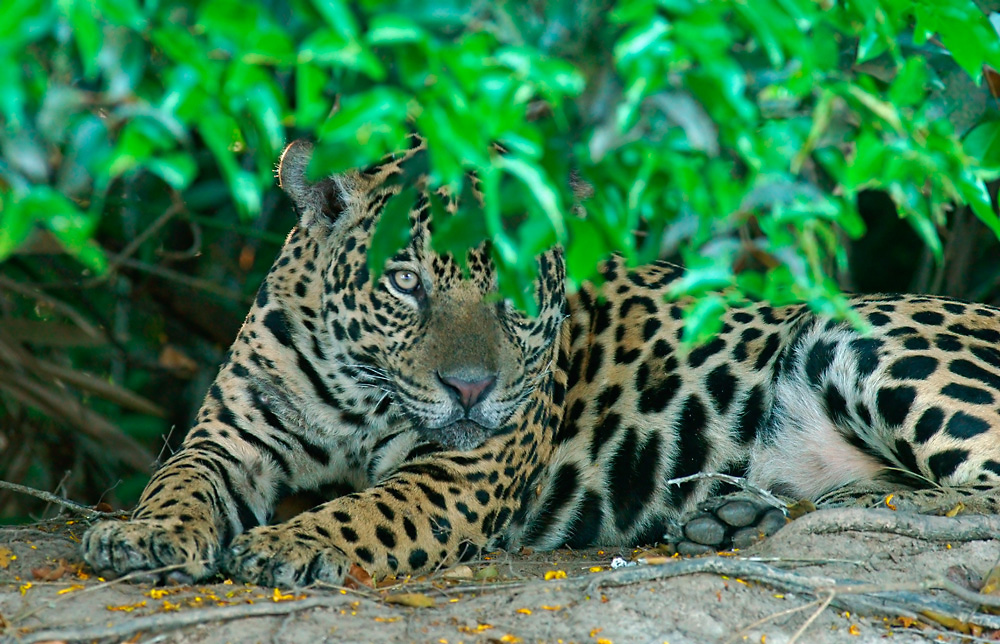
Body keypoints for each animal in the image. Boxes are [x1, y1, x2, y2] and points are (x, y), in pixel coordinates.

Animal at [83, 138, 1000, 587]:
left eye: (520, 286)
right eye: (405, 281)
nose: (470, 388)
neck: (357, 389)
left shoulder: (459, 473)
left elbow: (366, 510)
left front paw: (291, 542)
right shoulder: (228, 438)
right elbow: (178, 479)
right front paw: (143, 534)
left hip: (864, 340)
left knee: (966, 493)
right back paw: (735, 518)